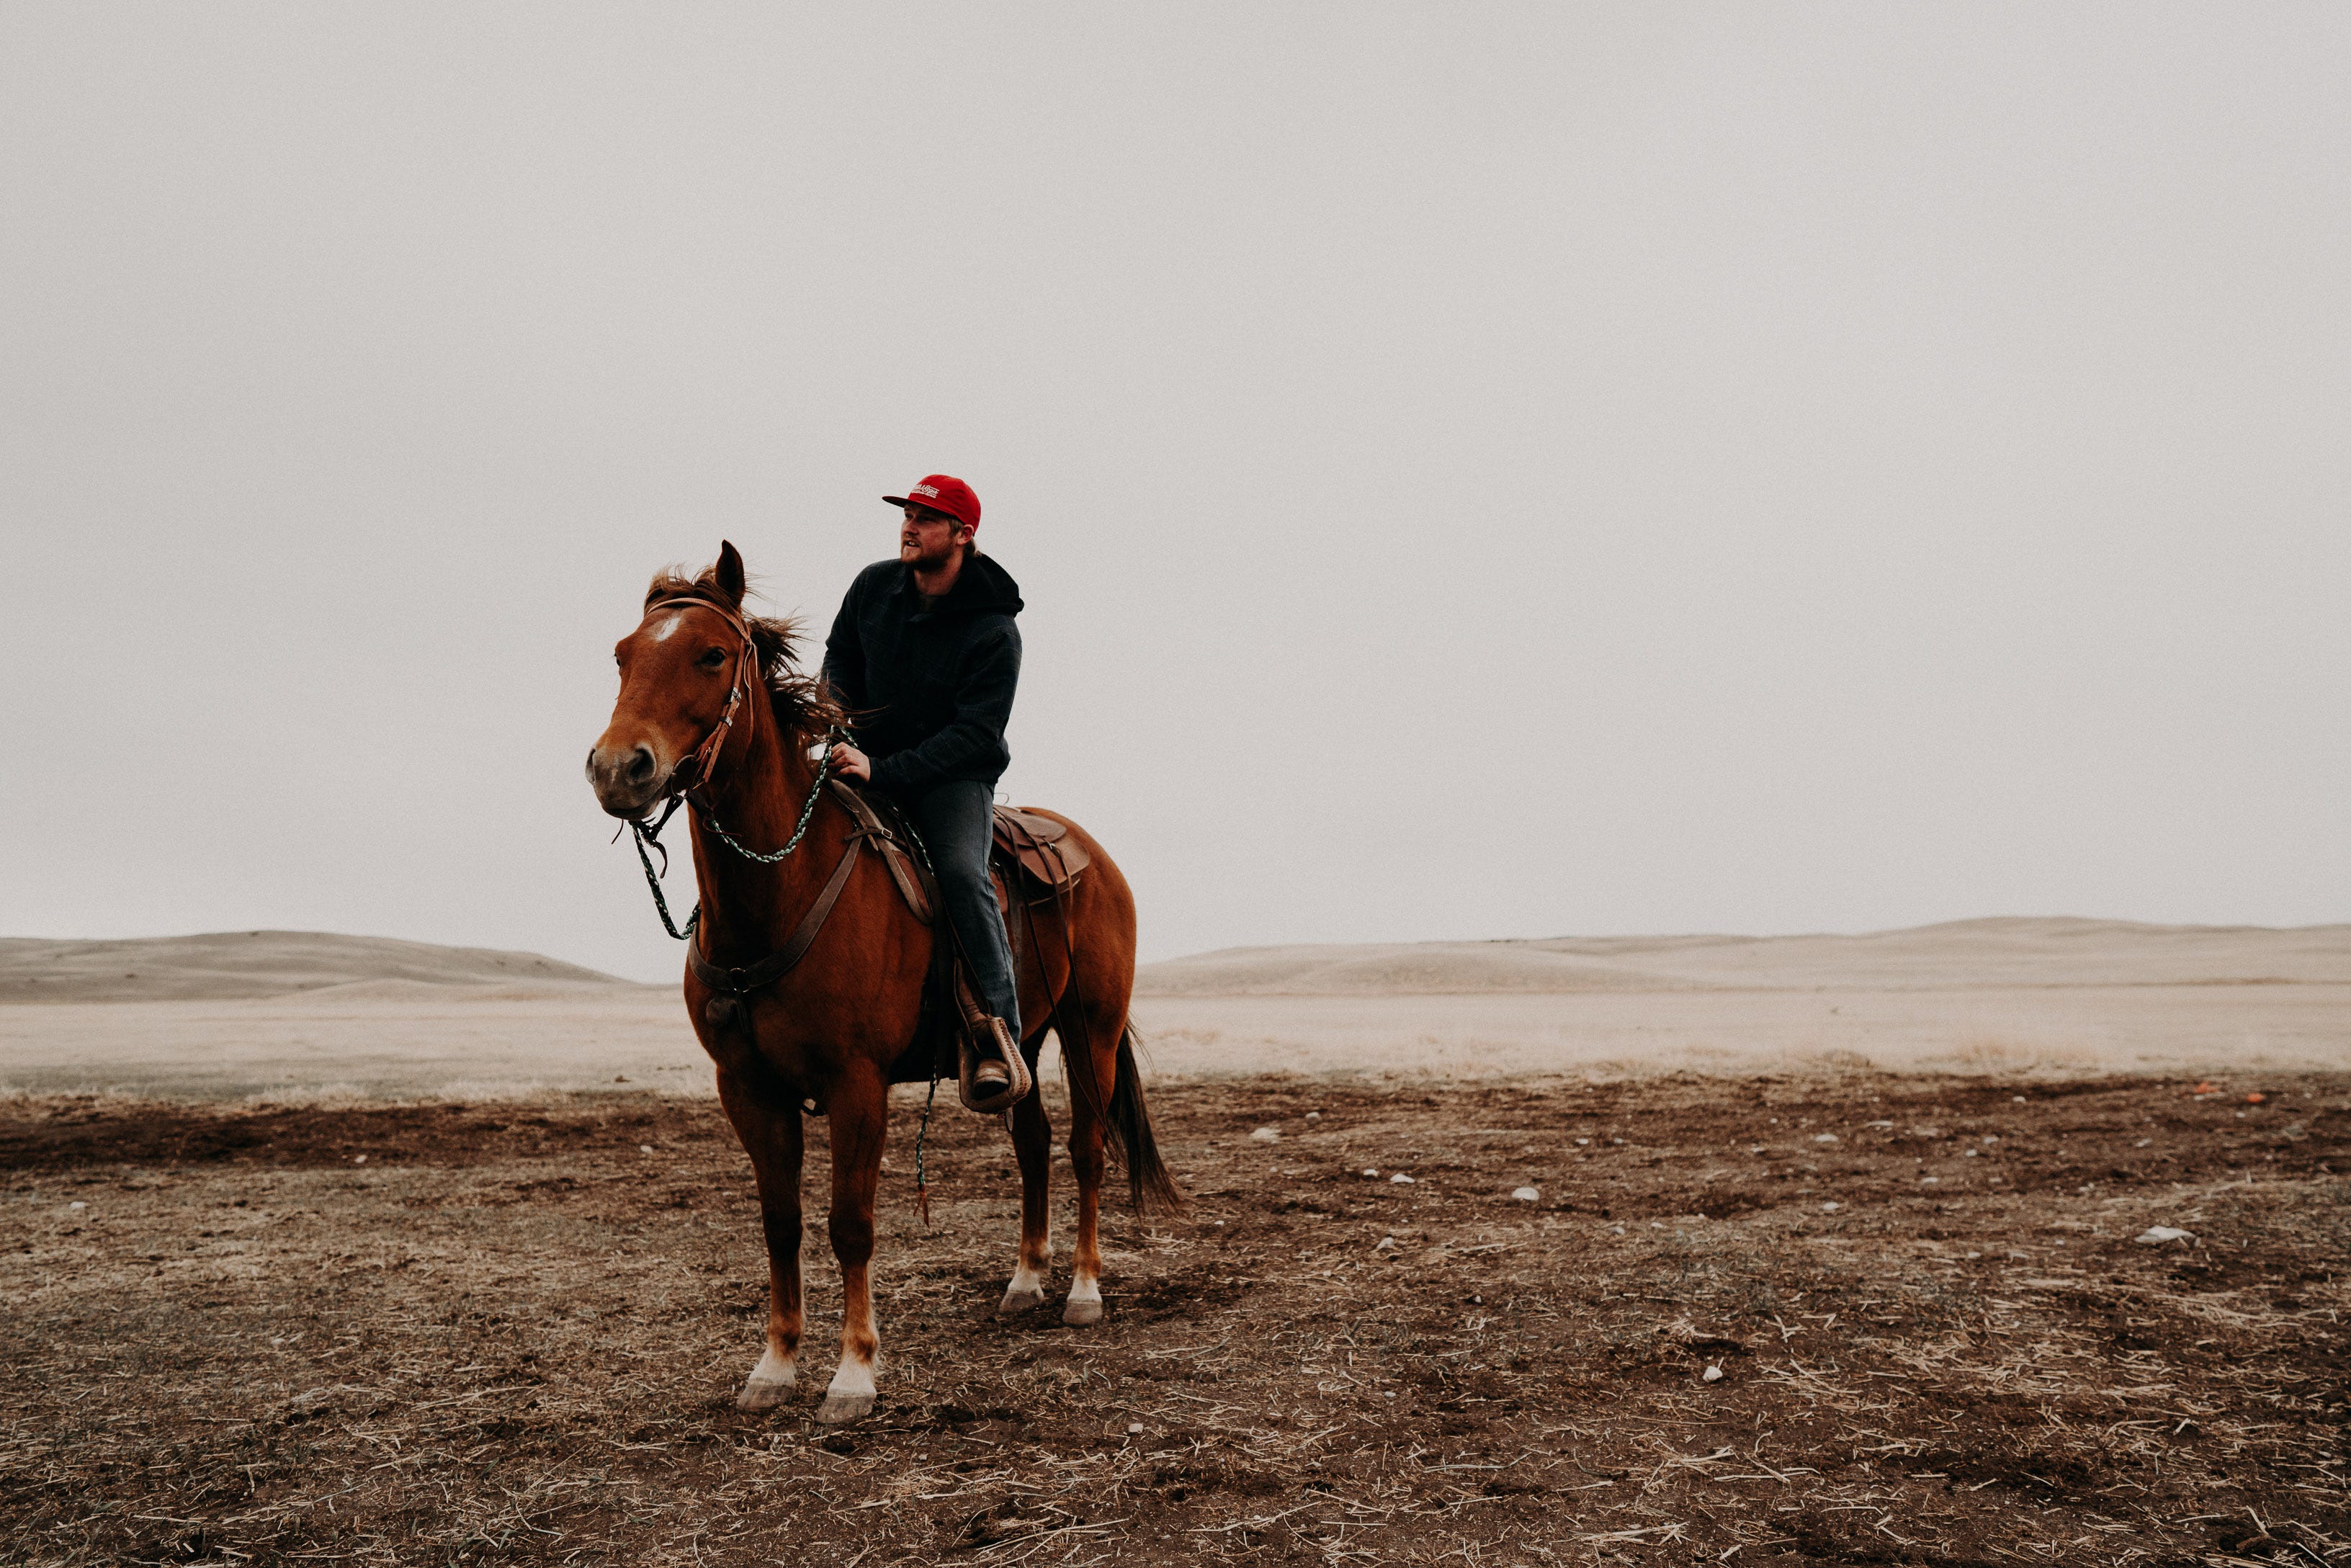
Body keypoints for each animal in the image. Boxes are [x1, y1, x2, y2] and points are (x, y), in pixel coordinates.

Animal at [583, 540, 1176, 1420]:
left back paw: (1082, 1291)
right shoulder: (746, 1087)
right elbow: (781, 1221)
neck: (779, 887)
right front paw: (774, 1365)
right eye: (624, 654)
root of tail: (1091, 852)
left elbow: (850, 1222)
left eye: (712, 653)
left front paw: (854, 1373)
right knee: (1033, 1141)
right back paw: (1025, 1279)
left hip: (1089, 1027)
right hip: (1024, 1036)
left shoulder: (857, 1083)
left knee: (1084, 1147)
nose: (619, 768)